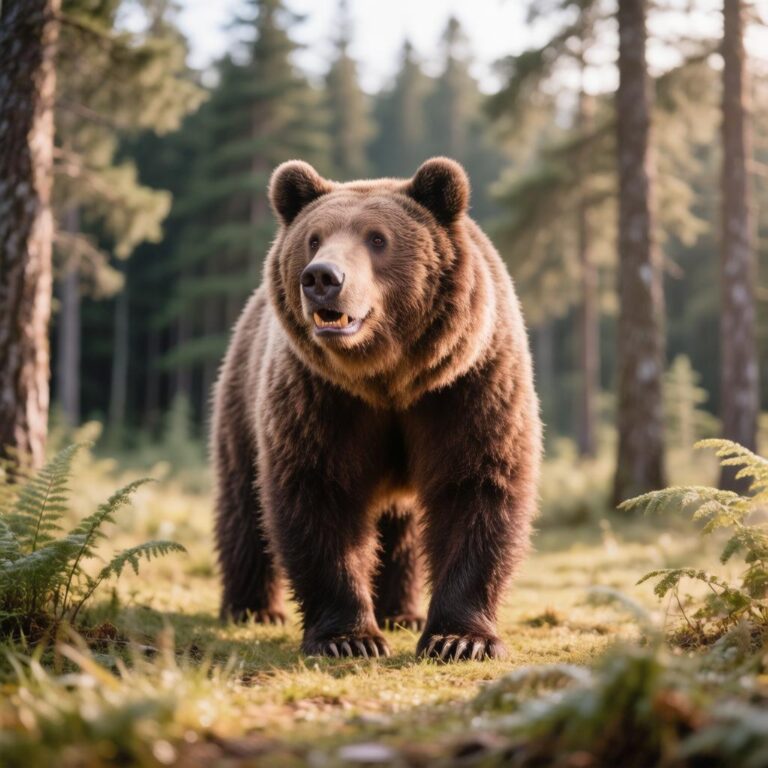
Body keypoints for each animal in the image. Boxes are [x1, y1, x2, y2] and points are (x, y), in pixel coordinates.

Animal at [212, 157, 541, 661]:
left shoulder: (467, 387)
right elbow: (319, 493)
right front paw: (350, 639)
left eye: (378, 238)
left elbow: (477, 487)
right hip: (241, 398)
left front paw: (460, 639)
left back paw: (401, 612)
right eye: (314, 238)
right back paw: (253, 608)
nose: (322, 277)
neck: (389, 379)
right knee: (243, 504)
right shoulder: (321, 398)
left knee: (400, 527)